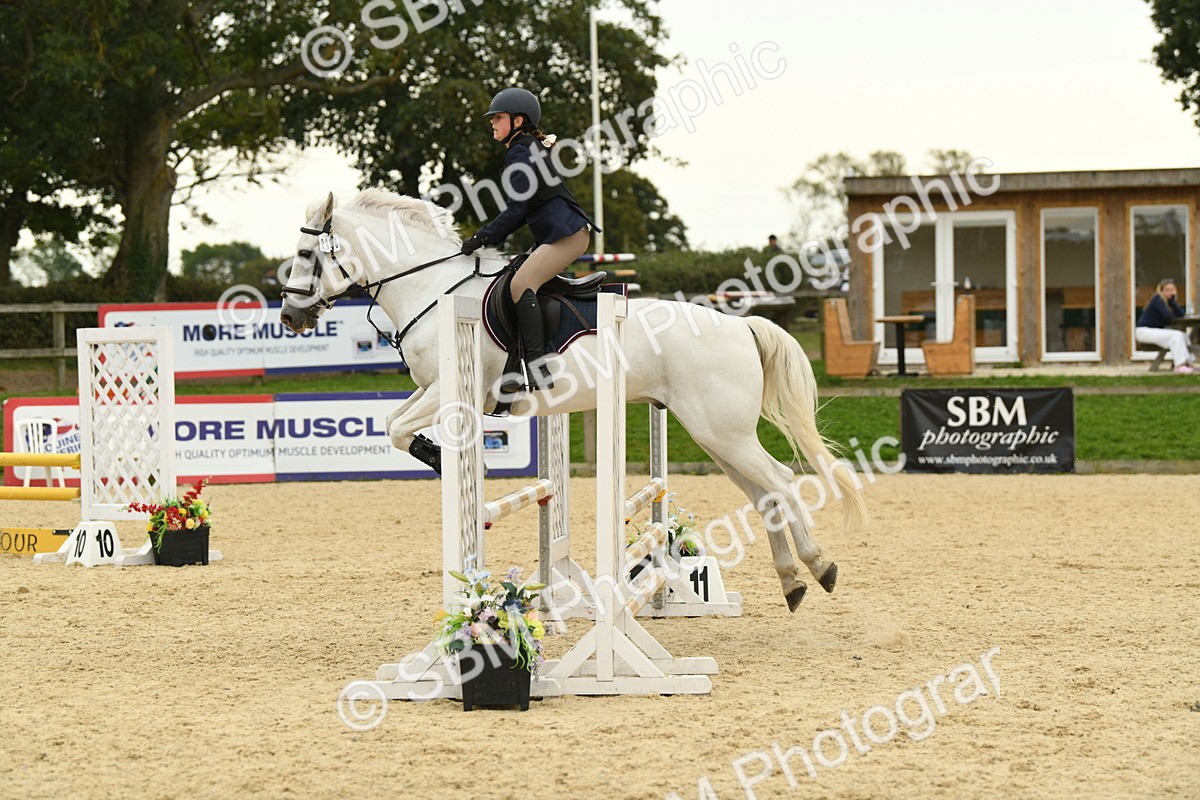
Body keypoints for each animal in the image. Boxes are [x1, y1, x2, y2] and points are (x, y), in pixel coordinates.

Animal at [279, 188, 868, 612]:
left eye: (307, 254)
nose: (289, 316)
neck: (433, 289)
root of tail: (741, 324)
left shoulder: (453, 390)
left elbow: (400, 429)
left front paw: (442, 459)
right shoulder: (430, 388)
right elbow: (391, 422)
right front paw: (438, 456)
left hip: (722, 433)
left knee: (782, 483)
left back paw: (818, 566)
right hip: (719, 438)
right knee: (766, 493)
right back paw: (793, 581)